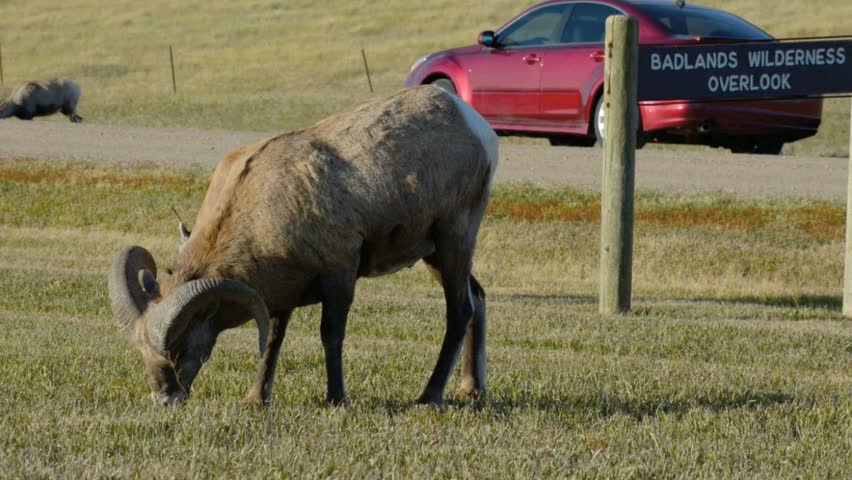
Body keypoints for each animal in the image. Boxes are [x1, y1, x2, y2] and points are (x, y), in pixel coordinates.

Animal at [108, 85, 498, 406]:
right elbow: (273, 339)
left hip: (454, 237)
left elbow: (331, 336)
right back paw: (470, 389)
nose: (165, 399)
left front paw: (335, 400)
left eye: (181, 349)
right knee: (476, 298)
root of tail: (474, 125)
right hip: (434, 253)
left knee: (459, 311)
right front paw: (256, 398)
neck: (260, 204)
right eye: (142, 352)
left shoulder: (340, 273)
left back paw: (429, 396)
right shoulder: (281, 294)